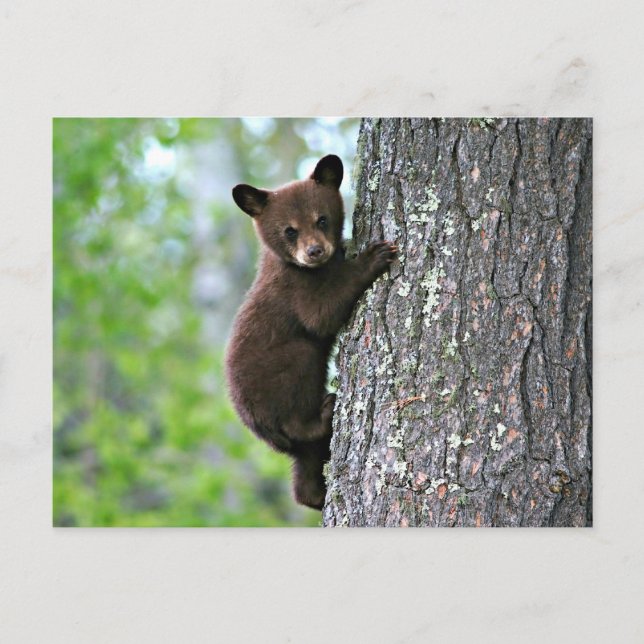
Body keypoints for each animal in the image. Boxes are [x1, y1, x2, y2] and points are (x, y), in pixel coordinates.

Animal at [225, 154, 397, 510]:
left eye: (322, 219)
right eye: (290, 230)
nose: (315, 251)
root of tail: (259, 429)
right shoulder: (295, 289)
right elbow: (321, 315)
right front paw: (372, 257)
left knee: (304, 468)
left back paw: (315, 495)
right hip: (280, 378)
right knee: (299, 393)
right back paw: (324, 412)